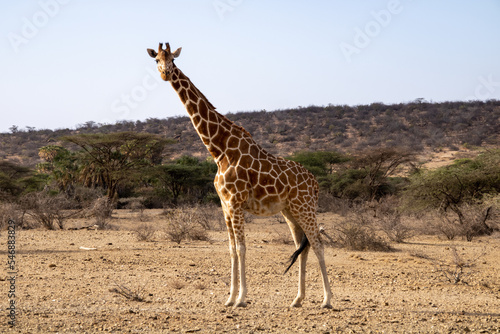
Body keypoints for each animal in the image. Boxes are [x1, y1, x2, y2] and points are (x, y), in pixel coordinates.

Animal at [147, 43, 332, 310]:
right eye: (156, 60)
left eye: (173, 58)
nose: (165, 73)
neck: (219, 149)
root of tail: (315, 182)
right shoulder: (224, 205)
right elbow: (232, 249)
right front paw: (229, 298)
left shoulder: (235, 202)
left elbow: (243, 248)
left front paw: (242, 298)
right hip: (290, 211)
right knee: (302, 246)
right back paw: (297, 299)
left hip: (305, 207)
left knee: (318, 243)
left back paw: (327, 300)